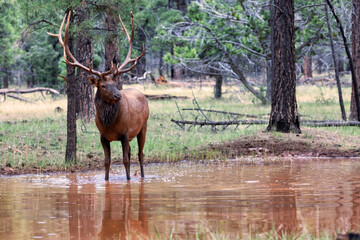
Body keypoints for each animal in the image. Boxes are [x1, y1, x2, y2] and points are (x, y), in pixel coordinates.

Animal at [48, 11, 148, 180]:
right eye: (103, 85)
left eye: (116, 83)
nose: (118, 96)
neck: (109, 124)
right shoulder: (103, 136)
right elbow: (107, 162)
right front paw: (106, 180)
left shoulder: (125, 134)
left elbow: (125, 161)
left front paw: (128, 180)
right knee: (133, 153)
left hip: (143, 127)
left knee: (140, 155)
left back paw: (142, 176)